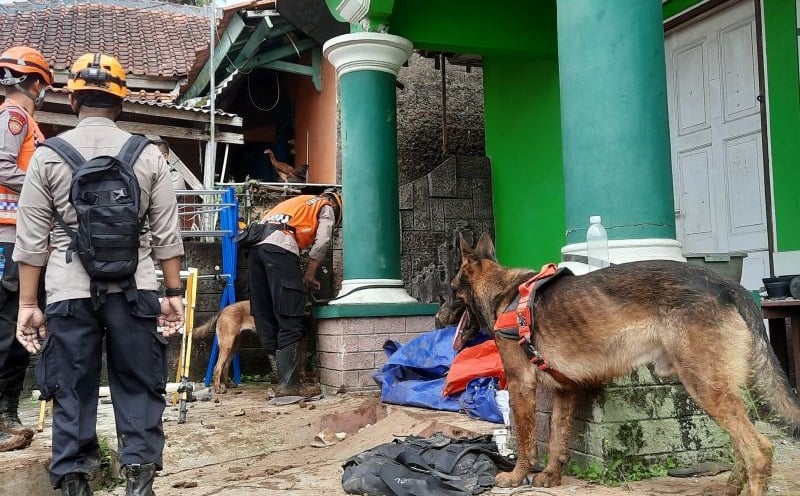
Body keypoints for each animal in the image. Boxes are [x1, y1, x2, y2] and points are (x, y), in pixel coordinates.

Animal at [438, 233, 800, 496]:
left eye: (451, 290)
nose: (438, 316)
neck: (506, 294)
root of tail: (729, 286)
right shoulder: (564, 391)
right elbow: (556, 437)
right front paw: (552, 475)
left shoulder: (520, 385)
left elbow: (526, 441)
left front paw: (517, 477)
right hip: (720, 390)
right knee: (743, 445)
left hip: (705, 386)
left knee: (759, 450)